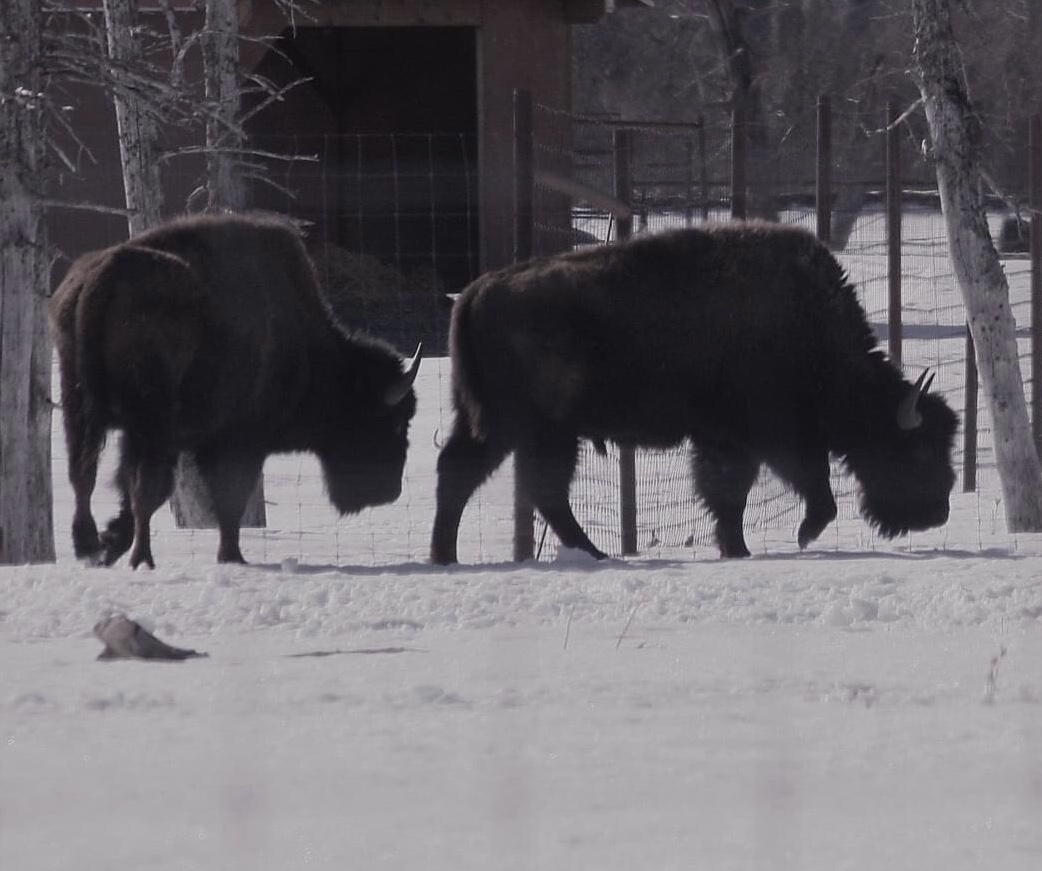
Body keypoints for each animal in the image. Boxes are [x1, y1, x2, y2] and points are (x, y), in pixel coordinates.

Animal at [50, 213, 421, 568]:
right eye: (394, 422)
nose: (389, 490)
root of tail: (104, 276)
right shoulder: (239, 441)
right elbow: (230, 498)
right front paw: (231, 555)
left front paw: (111, 542)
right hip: (151, 421)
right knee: (142, 488)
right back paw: (142, 559)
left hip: (79, 407)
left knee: (85, 476)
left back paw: (89, 548)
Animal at [431, 221, 958, 563]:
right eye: (919, 451)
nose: (939, 512)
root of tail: (476, 291)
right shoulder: (766, 436)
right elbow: (797, 488)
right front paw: (798, 537)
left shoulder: (729, 440)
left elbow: (729, 495)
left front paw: (736, 547)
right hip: (531, 428)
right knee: (517, 484)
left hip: (510, 427)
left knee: (480, 476)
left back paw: (456, 555)